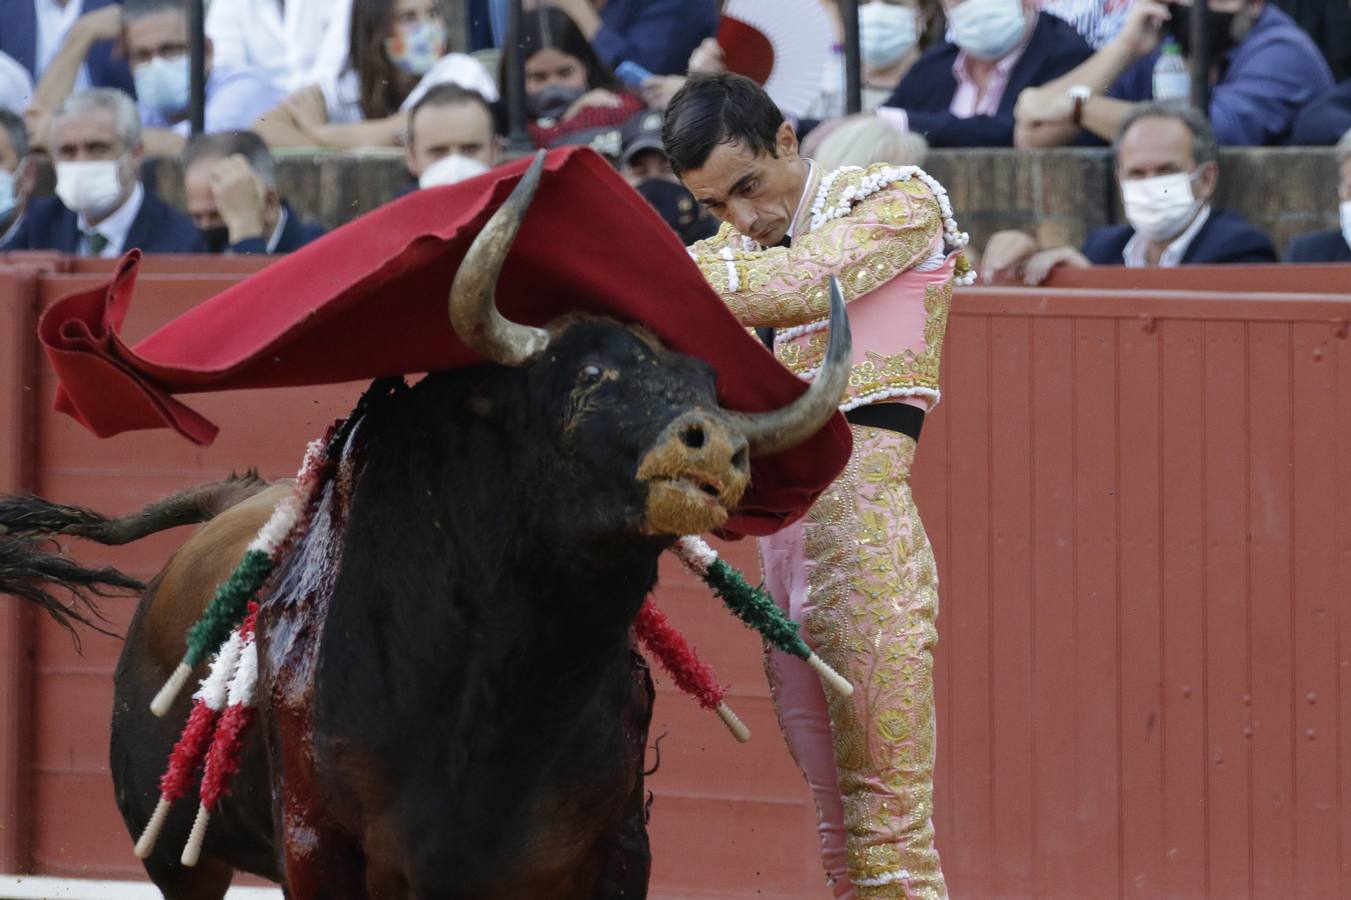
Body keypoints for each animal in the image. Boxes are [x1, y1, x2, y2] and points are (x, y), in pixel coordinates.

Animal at [0, 156, 848, 897]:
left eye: (707, 383)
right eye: (587, 374)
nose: (720, 444)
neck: (506, 683)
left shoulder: (611, 850)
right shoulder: (320, 847)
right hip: (174, 850)